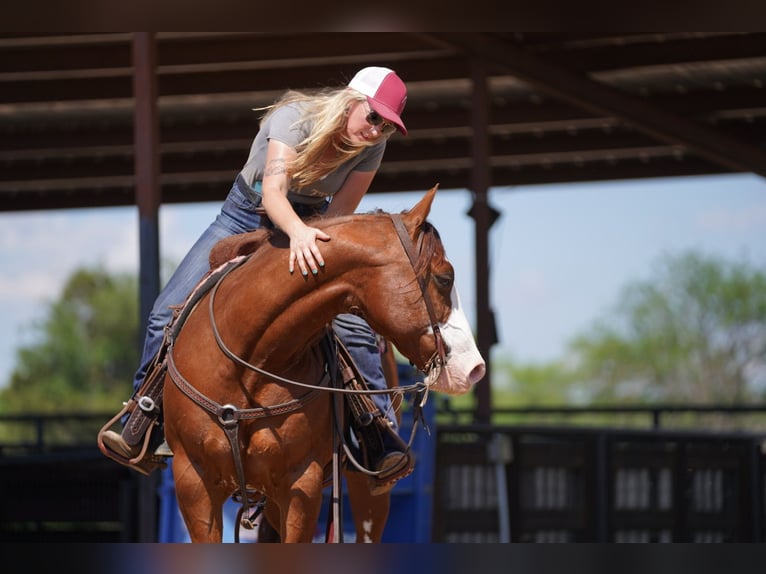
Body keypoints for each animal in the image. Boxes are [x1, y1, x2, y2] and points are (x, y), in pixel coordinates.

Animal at [164, 188, 486, 544]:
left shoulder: (300, 486)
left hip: (366, 493)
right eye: (445, 278)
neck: (246, 366)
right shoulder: (194, 484)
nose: (474, 367)